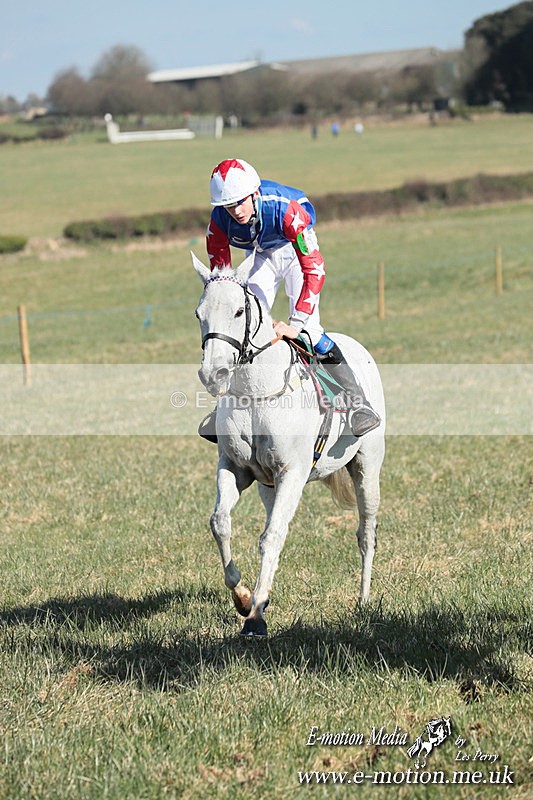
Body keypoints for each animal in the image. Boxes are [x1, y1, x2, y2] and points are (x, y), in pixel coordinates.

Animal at [192, 251, 386, 637]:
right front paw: (244, 598)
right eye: (198, 313)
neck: (255, 392)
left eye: (239, 311)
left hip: (367, 467)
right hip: (267, 486)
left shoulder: (292, 474)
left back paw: (363, 600)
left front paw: (255, 617)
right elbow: (220, 523)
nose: (212, 375)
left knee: (366, 533)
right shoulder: (235, 469)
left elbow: (271, 536)